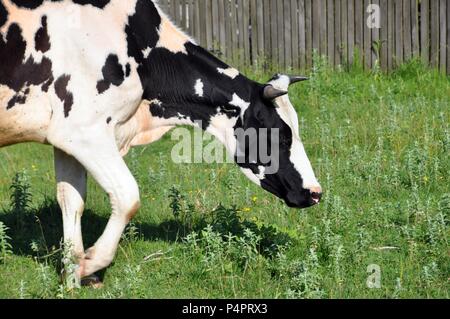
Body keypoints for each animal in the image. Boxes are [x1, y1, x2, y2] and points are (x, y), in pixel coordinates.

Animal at [0, 0, 324, 284]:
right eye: (280, 133)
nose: (315, 192)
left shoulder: (66, 137)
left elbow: (71, 201)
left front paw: (72, 276)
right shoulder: (85, 131)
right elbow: (128, 196)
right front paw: (91, 264)